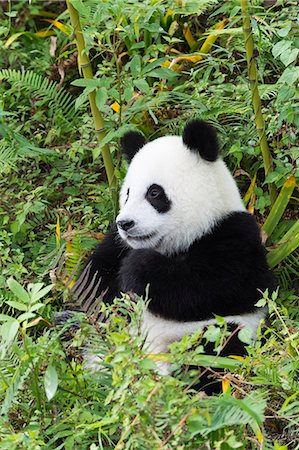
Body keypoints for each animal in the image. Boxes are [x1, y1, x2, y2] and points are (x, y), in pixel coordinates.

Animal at [69, 118, 276, 390]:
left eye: (154, 193)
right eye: (127, 193)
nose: (126, 223)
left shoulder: (236, 238)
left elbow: (211, 287)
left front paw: (137, 269)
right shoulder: (115, 242)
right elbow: (94, 281)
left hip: (218, 332)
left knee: (218, 347)